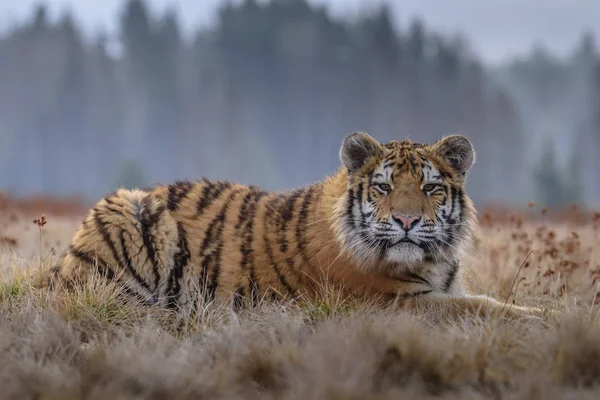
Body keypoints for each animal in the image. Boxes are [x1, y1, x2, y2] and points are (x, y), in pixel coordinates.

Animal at [47, 133, 544, 318]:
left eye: (430, 188)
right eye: (383, 188)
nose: (407, 220)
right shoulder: (399, 304)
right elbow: (488, 308)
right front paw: (550, 319)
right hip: (127, 211)